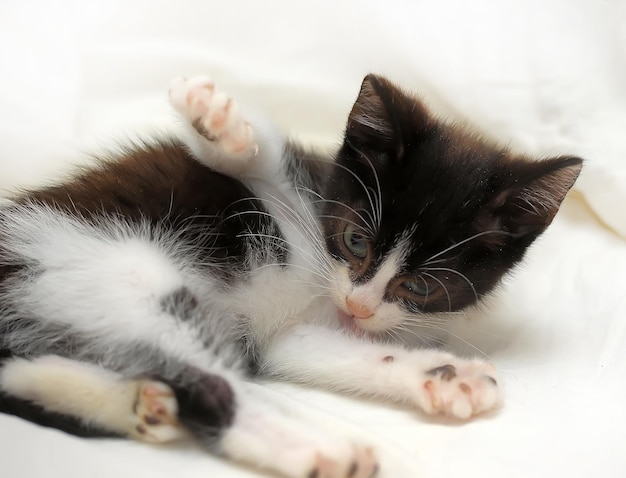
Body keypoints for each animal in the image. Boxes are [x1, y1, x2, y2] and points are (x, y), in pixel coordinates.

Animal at [0, 73, 580, 476]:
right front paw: (216, 126)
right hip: (118, 271)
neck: (326, 277)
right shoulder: (295, 198)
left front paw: (440, 375)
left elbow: (334, 351)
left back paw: (138, 402)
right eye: (355, 241)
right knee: (212, 386)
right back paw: (319, 450)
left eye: (420, 287)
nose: (358, 308)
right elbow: (262, 171)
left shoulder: (289, 336)